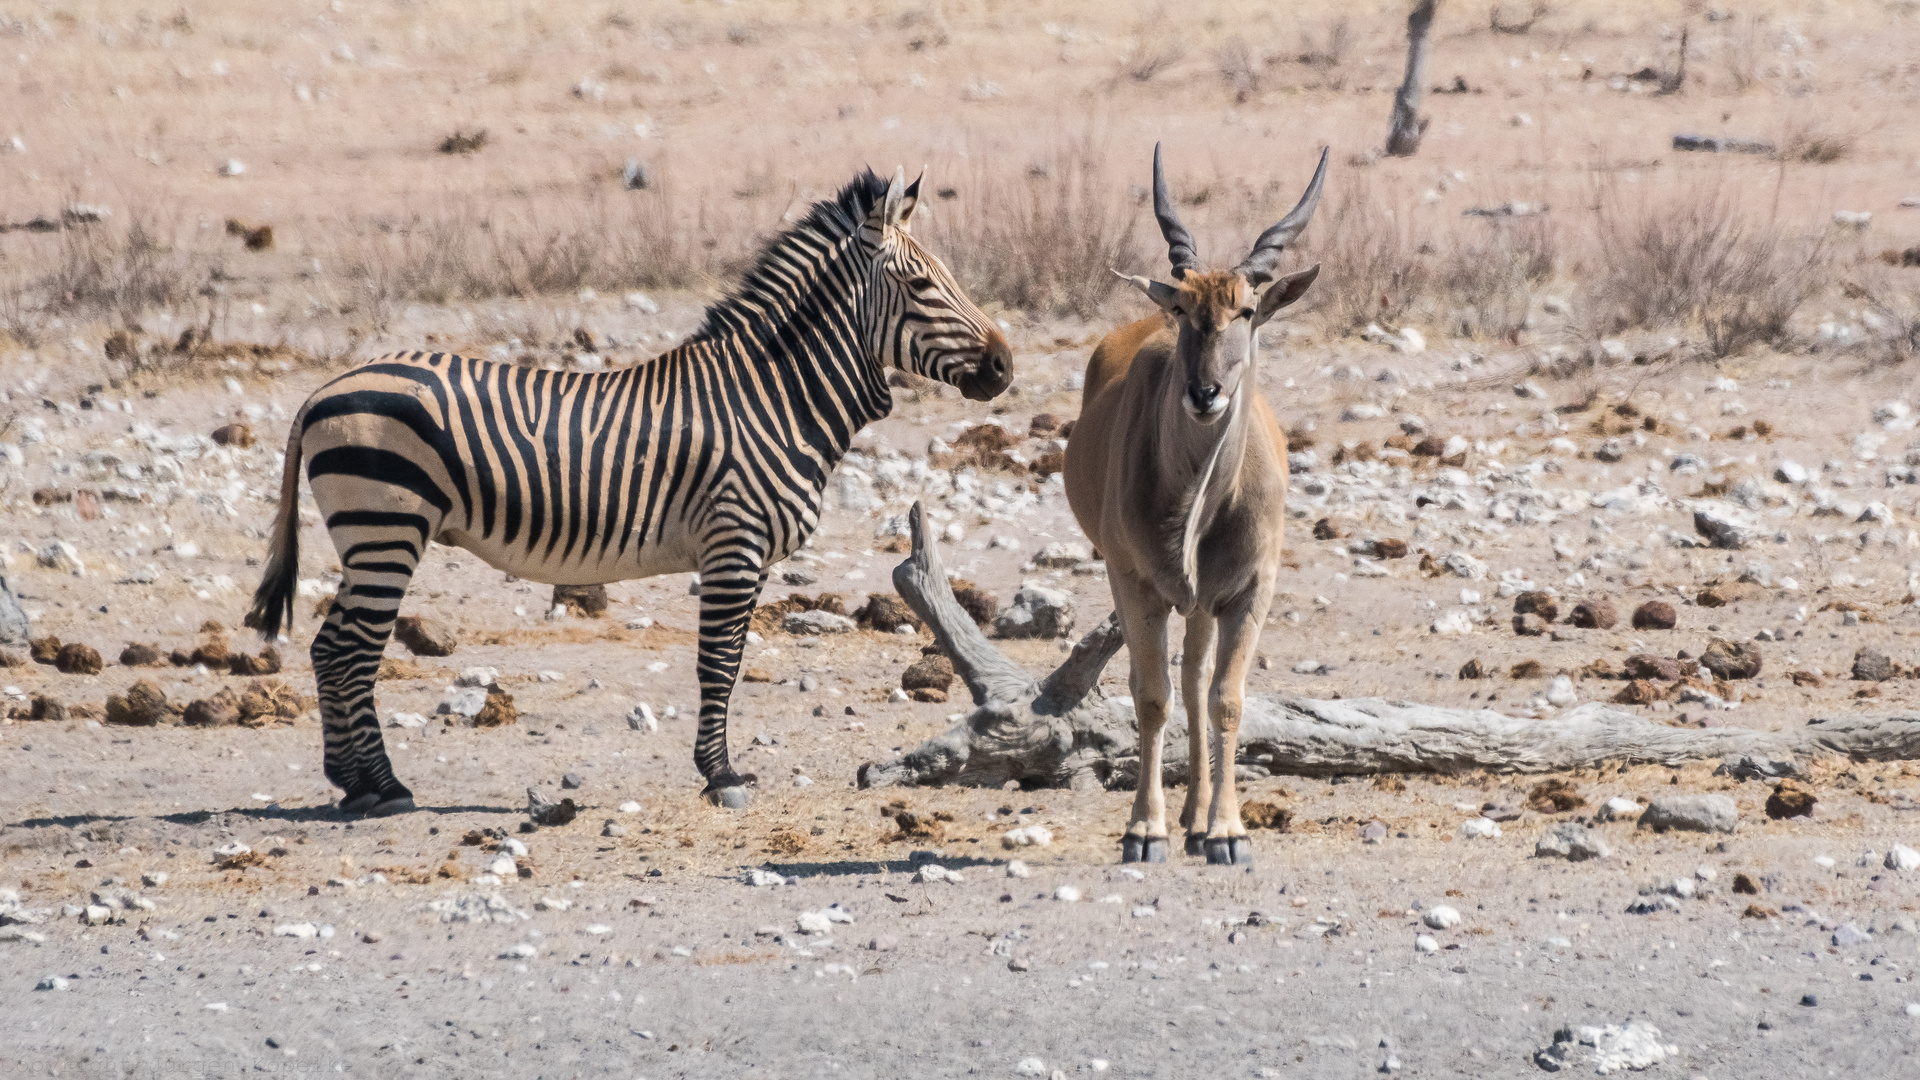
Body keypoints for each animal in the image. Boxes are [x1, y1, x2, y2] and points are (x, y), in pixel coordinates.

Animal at [247, 168, 1013, 810]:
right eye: (922, 287)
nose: (1006, 367)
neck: (773, 397)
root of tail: (320, 391)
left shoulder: (745, 556)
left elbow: (728, 663)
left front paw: (717, 767)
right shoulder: (733, 546)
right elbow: (719, 666)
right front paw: (722, 774)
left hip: (372, 537)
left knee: (329, 649)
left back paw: (352, 783)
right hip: (386, 530)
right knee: (347, 652)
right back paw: (382, 787)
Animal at [1067, 143, 1320, 860]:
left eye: (1247, 311)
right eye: (1183, 309)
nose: (1205, 393)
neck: (1198, 509)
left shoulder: (1247, 590)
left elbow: (1225, 698)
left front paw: (1227, 830)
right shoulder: (1134, 584)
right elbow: (1150, 696)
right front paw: (1142, 830)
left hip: (1205, 604)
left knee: (1198, 682)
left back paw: (1199, 817)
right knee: (1172, 685)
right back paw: (1179, 818)